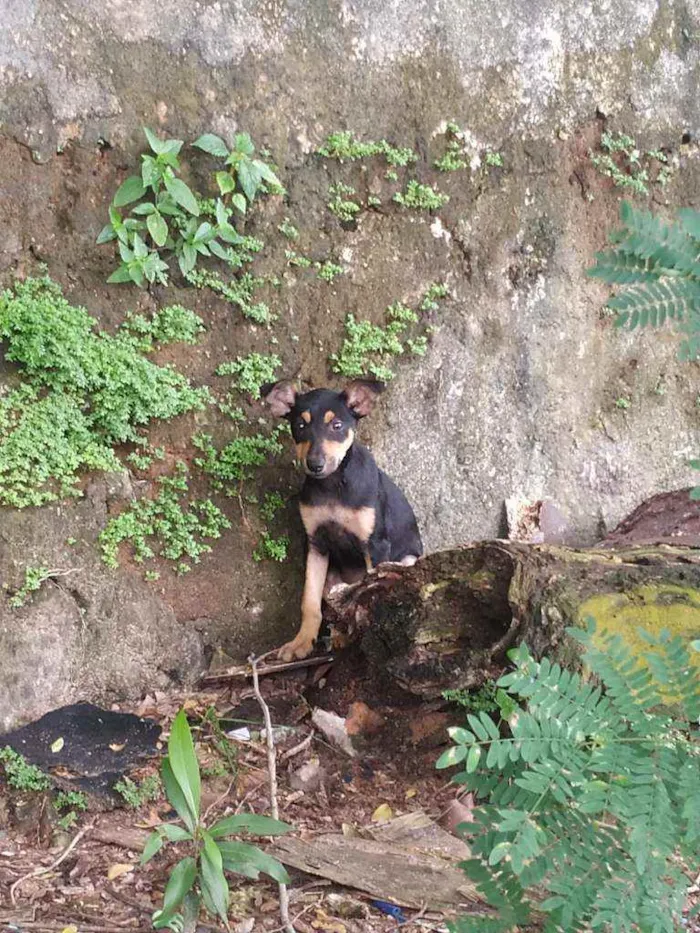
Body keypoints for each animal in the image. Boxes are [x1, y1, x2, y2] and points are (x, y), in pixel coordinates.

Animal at [262, 374, 422, 660]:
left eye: (337, 425)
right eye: (300, 426)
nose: (315, 465)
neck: (333, 485)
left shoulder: (375, 545)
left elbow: (371, 592)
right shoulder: (316, 544)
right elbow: (309, 600)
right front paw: (301, 642)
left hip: (406, 561)